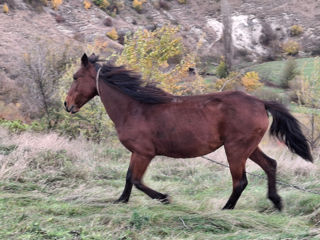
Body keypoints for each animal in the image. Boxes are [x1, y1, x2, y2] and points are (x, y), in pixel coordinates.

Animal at [63, 54, 312, 210]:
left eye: (75, 77)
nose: (67, 105)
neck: (135, 108)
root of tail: (260, 102)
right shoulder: (137, 153)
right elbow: (128, 177)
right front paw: (121, 201)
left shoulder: (144, 153)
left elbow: (136, 180)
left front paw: (164, 198)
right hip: (248, 148)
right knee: (270, 165)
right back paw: (276, 202)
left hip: (235, 149)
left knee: (240, 181)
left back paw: (226, 208)